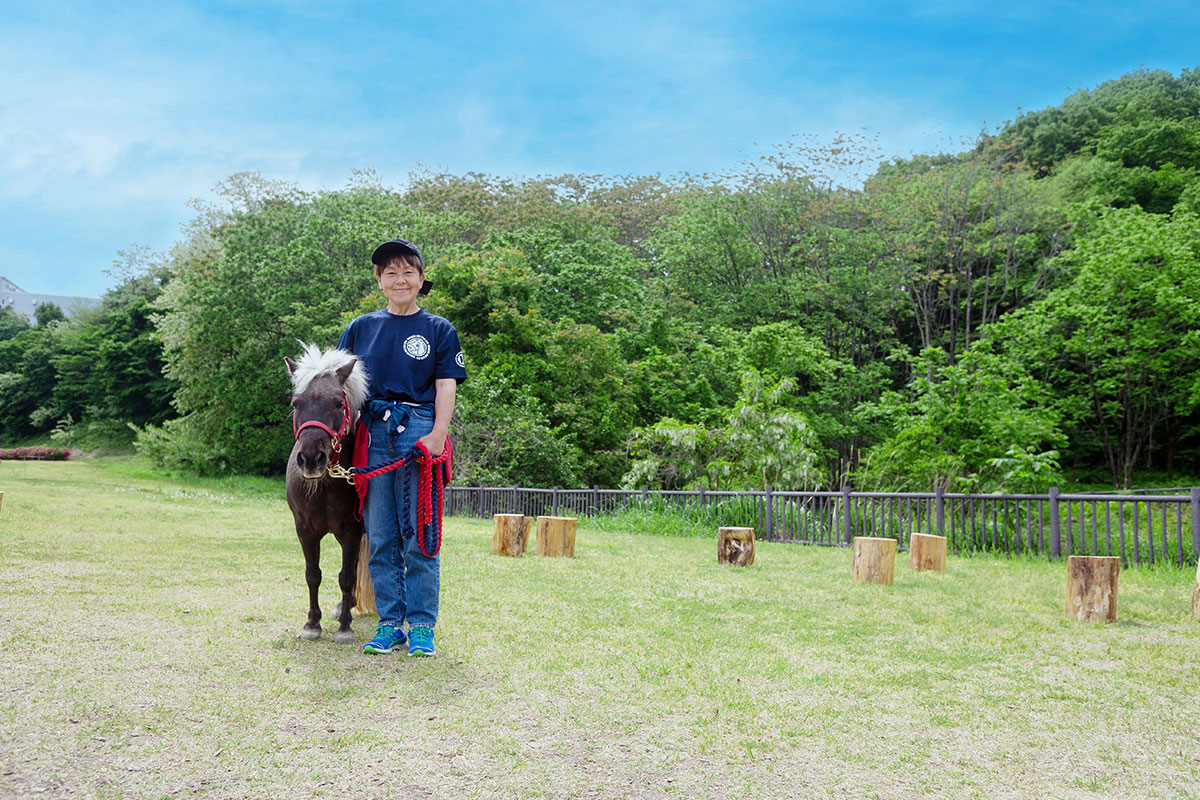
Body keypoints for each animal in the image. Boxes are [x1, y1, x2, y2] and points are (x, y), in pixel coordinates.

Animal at [284, 345, 369, 642]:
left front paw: (344, 627)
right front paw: (312, 623)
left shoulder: (353, 530)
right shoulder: (305, 529)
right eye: (296, 403)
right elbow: (313, 575)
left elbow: (345, 576)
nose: (311, 458)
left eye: (338, 404)